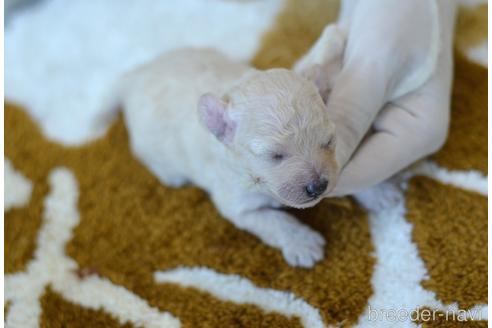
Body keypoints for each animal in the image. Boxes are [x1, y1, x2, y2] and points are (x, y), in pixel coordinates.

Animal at [104, 26, 342, 268]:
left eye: (329, 142)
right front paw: (303, 243)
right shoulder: (235, 200)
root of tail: (135, 76)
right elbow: (273, 220)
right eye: (275, 155)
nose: (318, 187)